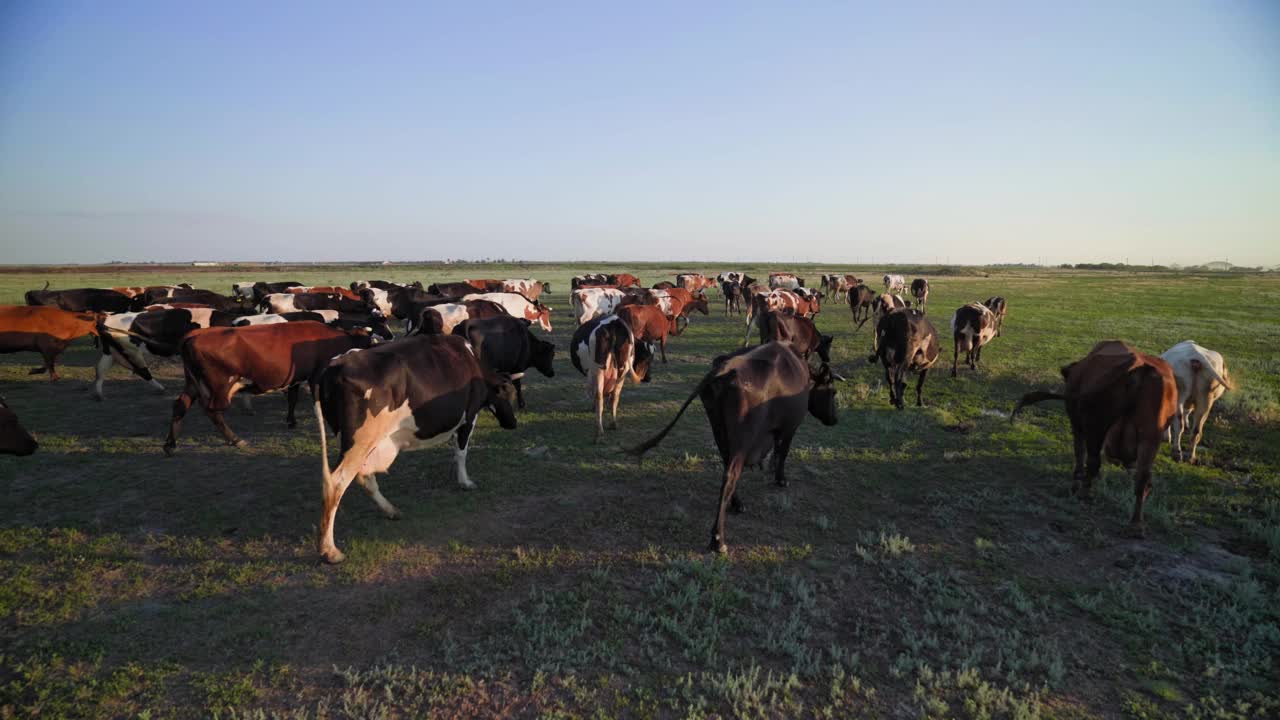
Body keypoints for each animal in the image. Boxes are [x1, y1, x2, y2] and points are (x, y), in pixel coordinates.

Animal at [94, 307, 240, 399]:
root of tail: (107, 318)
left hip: (110, 352)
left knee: (100, 370)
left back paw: (99, 395)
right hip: (132, 351)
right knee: (143, 371)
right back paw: (160, 388)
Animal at [165, 320, 376, 453]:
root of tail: (197, 334)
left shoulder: (296, 377)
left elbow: (292, 398)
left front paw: (291, 421)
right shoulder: (315, 375)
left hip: (193, 383)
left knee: (180, 405)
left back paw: (170, 444)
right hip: (220, 386)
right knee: (212, 411)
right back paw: (235, 439)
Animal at [312, 330, 517, 561]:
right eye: (508, 394)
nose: (513, 423)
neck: (472, 361)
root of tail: (333, 365)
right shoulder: (469, 415)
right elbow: (461, 452)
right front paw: (465, 481)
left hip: (359, 443)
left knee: (364, 477)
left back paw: (391, 510)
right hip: (360, 442)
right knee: (336, 483)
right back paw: (329, 550)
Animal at [622, 340, 839, 548]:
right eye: (833, 392)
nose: (835, 419)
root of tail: (726, 369)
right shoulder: (789, 428)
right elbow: (782, 454)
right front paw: (780, 479)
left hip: (720, 431)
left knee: (727, 467)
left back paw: (737, 505)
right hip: (741, 442)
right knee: (730, 476)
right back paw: (718, 539)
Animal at [1008, 338, 1177, 530]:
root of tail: (1140, 369)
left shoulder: (1078, 424)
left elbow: (1079, 452)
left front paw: (1076, 482)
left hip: (1097, 427)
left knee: (1093, 461)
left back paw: (1083, 492)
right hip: (1149, 438)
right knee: (1142, 478)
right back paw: (1136, 523)